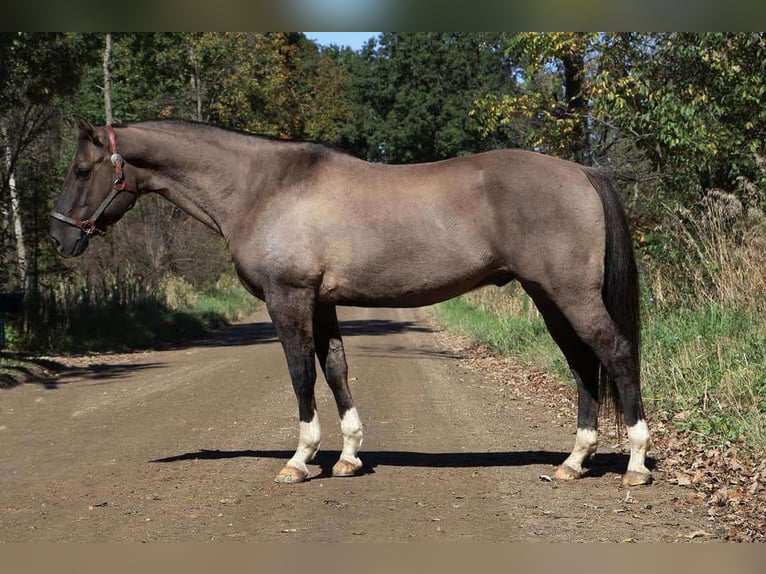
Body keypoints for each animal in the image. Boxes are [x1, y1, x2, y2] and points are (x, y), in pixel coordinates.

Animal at [48, 119, 652, 488]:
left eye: (82, 170)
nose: (60, 238)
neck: (265, 187)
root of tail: (582, 172)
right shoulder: (322, 303)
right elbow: (335, 368)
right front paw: (348, 456)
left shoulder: (289, 298)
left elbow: (300, 374)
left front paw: (300, 460)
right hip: (548, 297)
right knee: (582, 364)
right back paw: (574, 462)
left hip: (568, 294)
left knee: (617, 354)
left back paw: (636, 464)